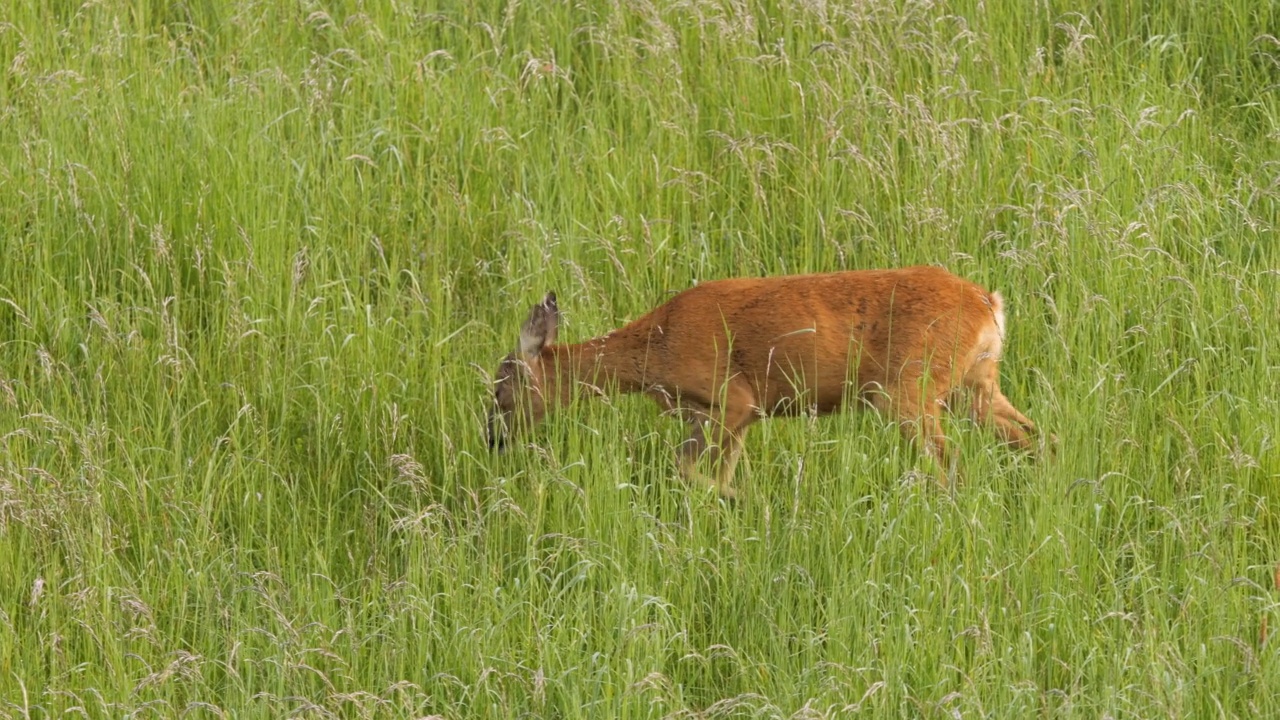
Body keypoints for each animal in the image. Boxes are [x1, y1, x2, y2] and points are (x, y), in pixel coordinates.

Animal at [483, 266, 1044, 497]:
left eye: (500, 386)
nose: (492, 439)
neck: (654, 351)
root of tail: (989, 304)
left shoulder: (733, 399)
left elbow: (689, 471)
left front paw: (753, 504)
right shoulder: (717, 415)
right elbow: (699, 471)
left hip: (909, 389)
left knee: (953, 466)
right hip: (975, 383)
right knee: (1036, 436)